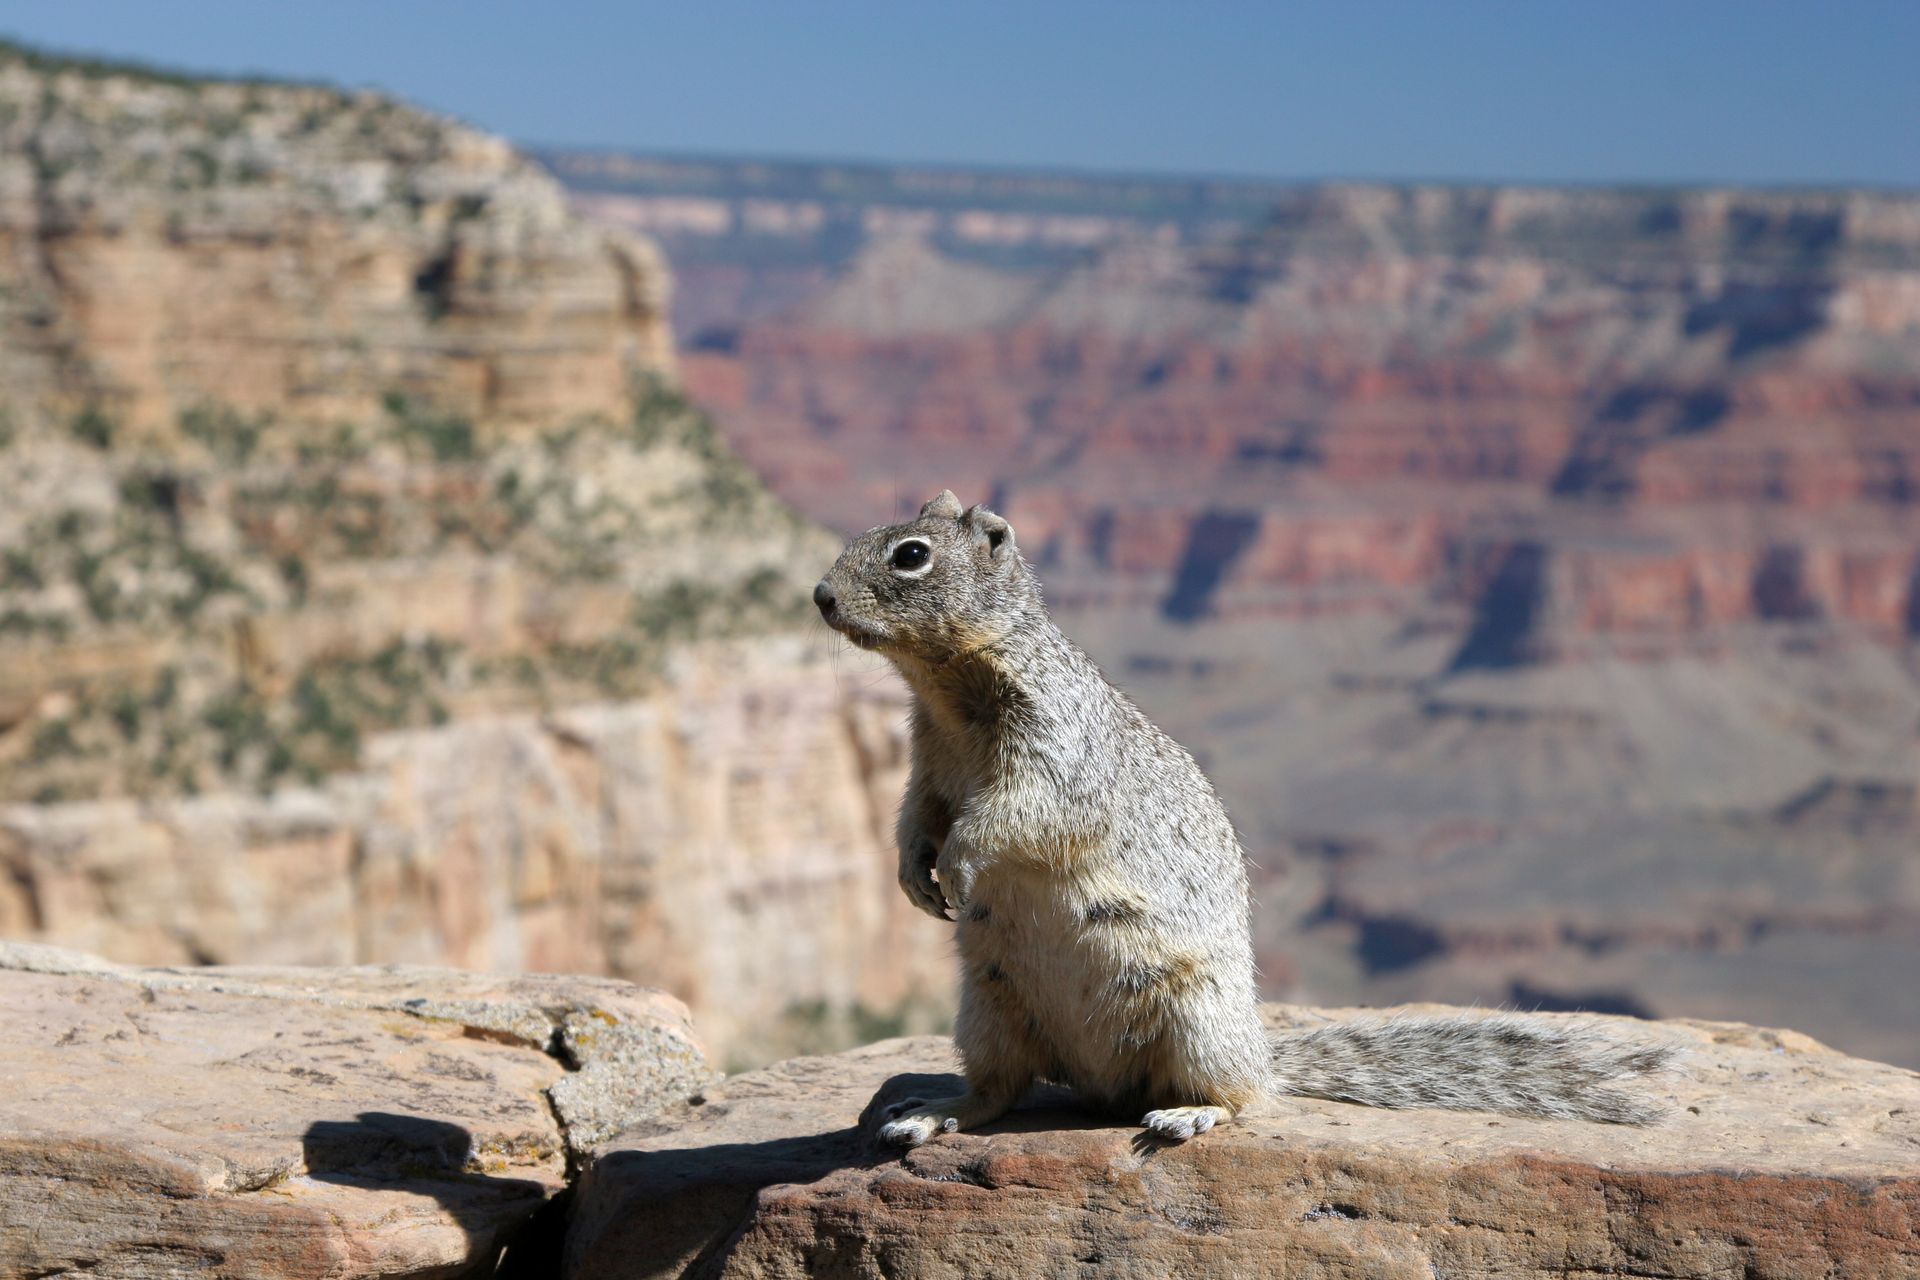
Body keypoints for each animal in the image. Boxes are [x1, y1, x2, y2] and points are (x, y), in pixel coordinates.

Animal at [814, 491, 1673, 1147]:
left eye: (911, 555)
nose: (819, 597)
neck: (945, 690)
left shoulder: (1054, 749)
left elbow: (1018, 814)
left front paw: (959, 862)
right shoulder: (928, 759)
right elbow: (914, 813)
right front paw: (914, 875)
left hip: (1195, 1018)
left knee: (1247, 1099)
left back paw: (1188, 1115)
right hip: (987, 1008)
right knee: (1000, 1090)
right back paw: (932, 1109)